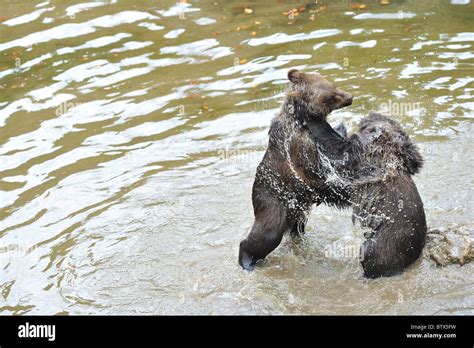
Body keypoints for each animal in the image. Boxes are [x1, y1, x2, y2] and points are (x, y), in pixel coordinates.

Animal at [239, 68, 354, 270]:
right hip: (274, 203)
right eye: (331, 94)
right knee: (266, 234)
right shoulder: (298, 146)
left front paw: (341, 126)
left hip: (297, 208)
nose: (350, 97)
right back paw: (247, 260)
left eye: (333, 85)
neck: (300, 119)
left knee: (296, 228)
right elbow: (315, 170)